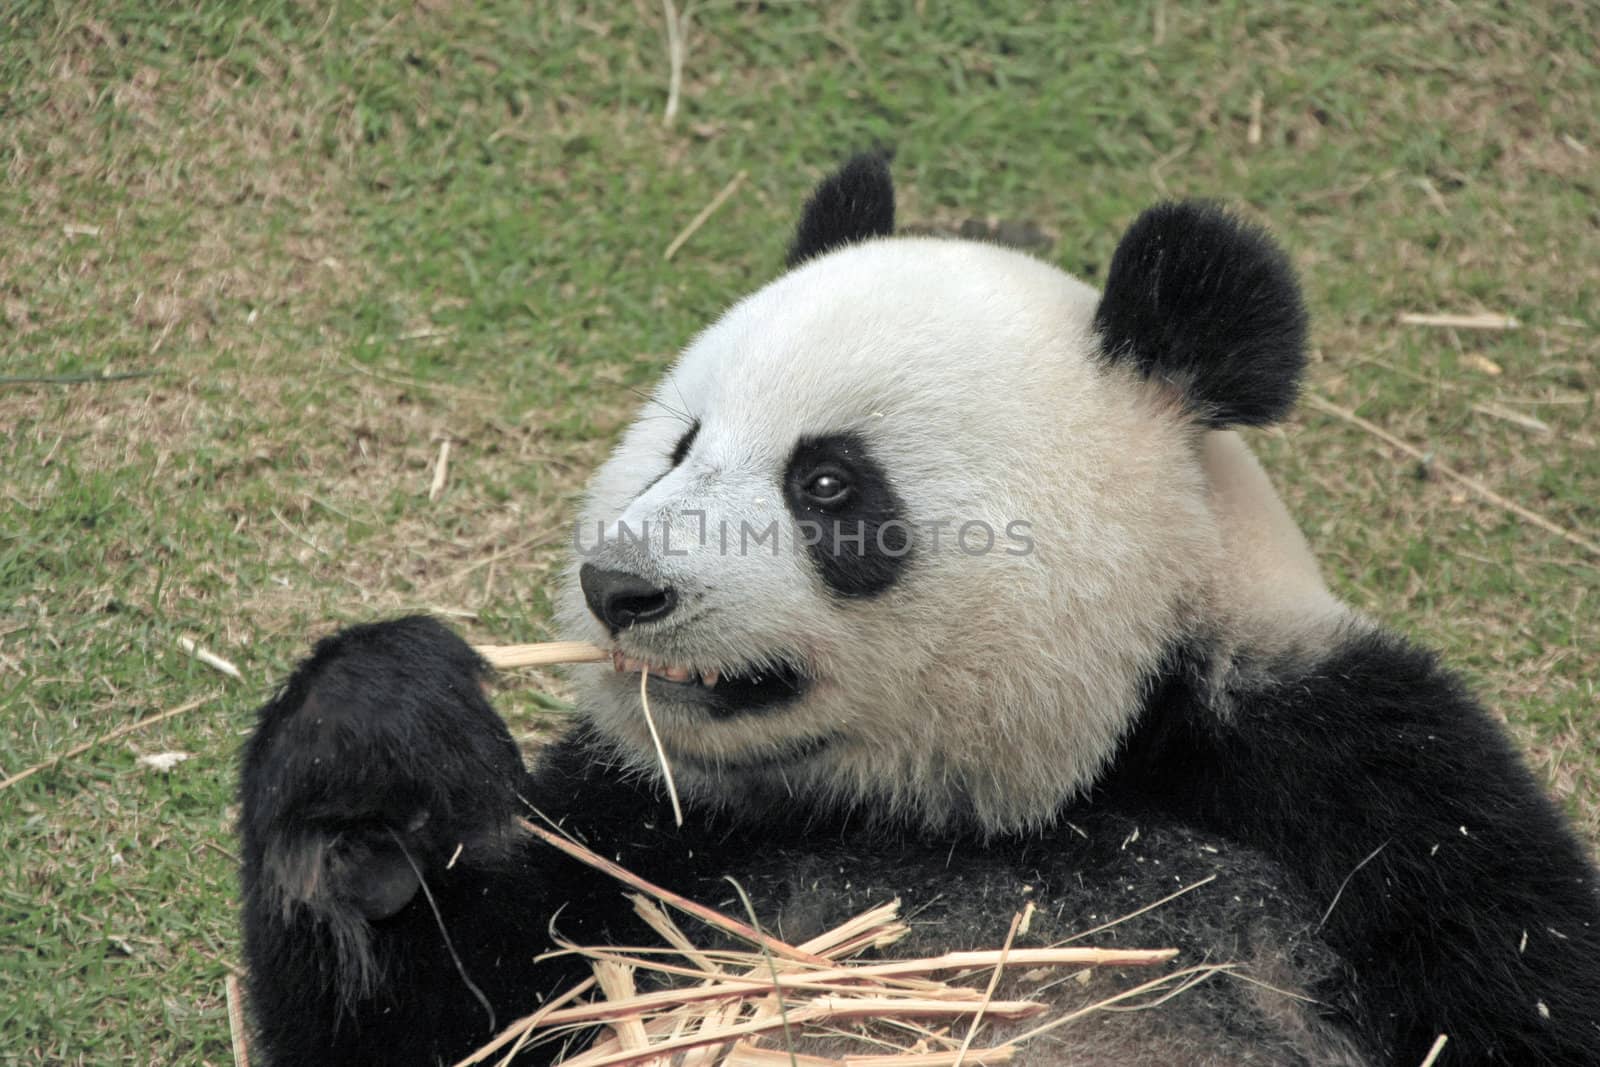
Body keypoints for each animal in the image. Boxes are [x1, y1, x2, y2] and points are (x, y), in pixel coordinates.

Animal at [236, 156, 1600, 1067]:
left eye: (829, 482)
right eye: (679, 444)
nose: (618, 588)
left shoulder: (1357, 773)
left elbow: (1523, 982)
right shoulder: (653, 826)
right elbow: (450, 1017)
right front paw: (374, 759)